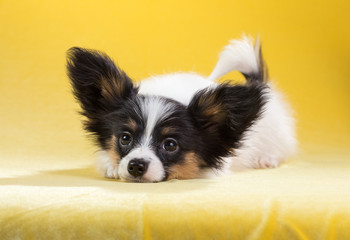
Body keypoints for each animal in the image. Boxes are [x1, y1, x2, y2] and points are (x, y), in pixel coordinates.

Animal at [65, 36, 296, 182]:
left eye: (170, 145)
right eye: (125, 138)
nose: (136, 166)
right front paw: (112, 166)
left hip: (276, 133)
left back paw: (266, 159)